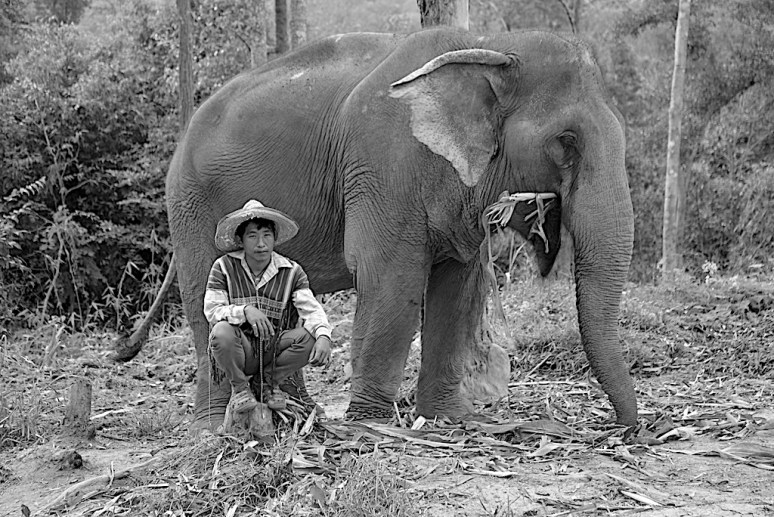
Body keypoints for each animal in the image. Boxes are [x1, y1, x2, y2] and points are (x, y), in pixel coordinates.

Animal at [165, 27, 637, 431]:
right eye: (566, 141)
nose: (629, 430)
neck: (489, 45)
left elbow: (458, 284)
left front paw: (448, 418)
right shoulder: (383, 162)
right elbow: (392, 275)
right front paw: (371, 424)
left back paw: (298, 413)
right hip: (190, 205)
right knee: (206, 301)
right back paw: (216, 425)